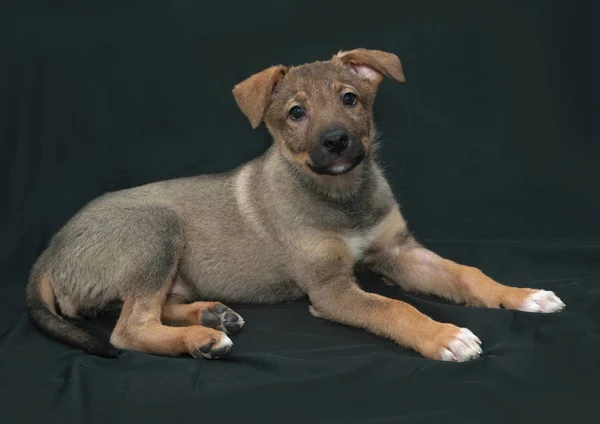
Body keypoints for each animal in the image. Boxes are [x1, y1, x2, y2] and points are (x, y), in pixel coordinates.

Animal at [25, 49, 564, 362]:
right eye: (296, 113)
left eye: (350, 98)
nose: (336, 142)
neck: (342, 198)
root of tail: (49, 252)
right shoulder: (329, 288)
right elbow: (392, 307)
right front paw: (443, 336)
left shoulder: (399, 252)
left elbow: (468, 274)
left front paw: (522, 295)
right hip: (155, 230)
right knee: (129, 329)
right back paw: (202, 339)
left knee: (150, 309)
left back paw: (211, 315)